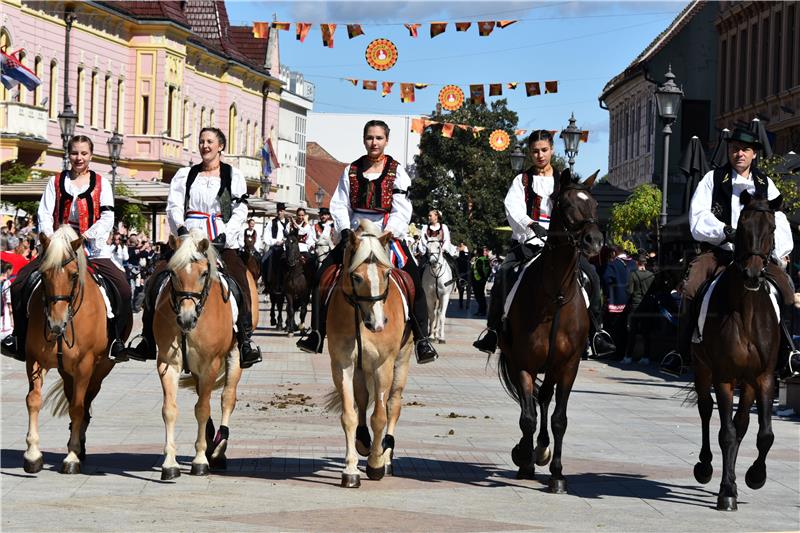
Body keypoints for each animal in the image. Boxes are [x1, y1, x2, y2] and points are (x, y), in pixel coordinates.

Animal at [23, 227, 128, 472]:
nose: (56, 323)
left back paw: (79, 446)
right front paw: (32, 454)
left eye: (72, 275)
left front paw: (71, 455)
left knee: (85, 401)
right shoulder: (34, 359)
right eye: (43, 274)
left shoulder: (85, 364)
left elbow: (78, 407)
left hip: (100, 369)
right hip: (66, 371)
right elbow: (34, 400)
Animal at [155, 231, 258, 480]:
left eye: (203, 273)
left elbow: (203, 409)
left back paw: (219, 449)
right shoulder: (168, 364)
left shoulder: (210, 364)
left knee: (227, 398)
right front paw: (170, 463)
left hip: (235, 357)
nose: (186, 319)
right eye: (173, 273)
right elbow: (169, 410)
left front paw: (200, 459)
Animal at [324, 218, 412, 488]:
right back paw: (364, 442)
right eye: (356, 276)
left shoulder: (384, 364)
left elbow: (380, 416)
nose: (378, 323)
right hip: (362, 368)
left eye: (387, 274)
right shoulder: (342, 363)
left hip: (401, 362)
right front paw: (350, 470)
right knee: (362, 399)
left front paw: (375, 464)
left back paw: (386, 456)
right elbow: (350, 415)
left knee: (393, 404)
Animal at [496, 168, 604, 492]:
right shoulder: (524, 363)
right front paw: (525, 460)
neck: (554, 295)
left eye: (595, 205)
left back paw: (542, 449)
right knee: (531, 404)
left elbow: (559, 419)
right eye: (566, 205)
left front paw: (557, 473)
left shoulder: (568, 366)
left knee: (544, 399)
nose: (594, 241)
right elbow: (527, 417)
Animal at [692, 192, 784, 512]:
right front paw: (727, 491)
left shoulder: (764, 377)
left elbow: (764, 434)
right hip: (702, 370)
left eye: (772, 228)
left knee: (742, 422)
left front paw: (755, 476)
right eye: (741, 227)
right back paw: (705, 467)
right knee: (706, 411)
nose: (753, 274)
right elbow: (726, 434)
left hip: (749, 384)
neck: (746, 312)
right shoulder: (724, 377)